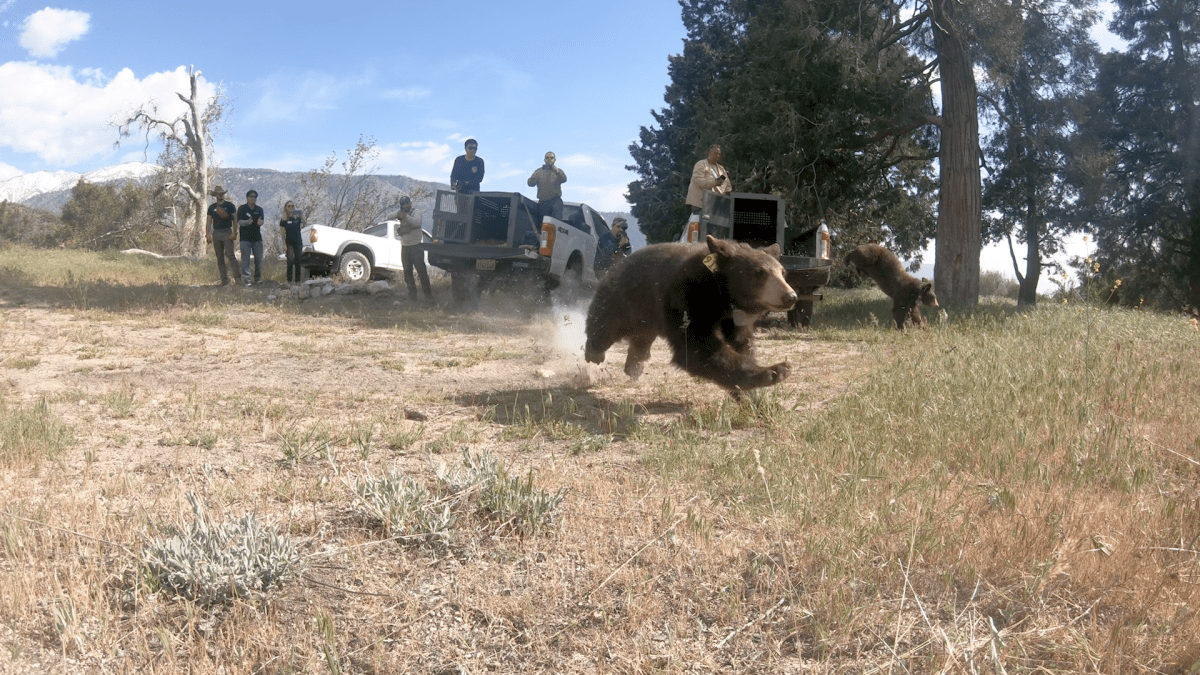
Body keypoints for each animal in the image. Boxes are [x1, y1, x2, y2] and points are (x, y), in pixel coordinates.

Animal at [580, 235, 796, 393]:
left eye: (782, 272)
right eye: (759, 273)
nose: (790, 296)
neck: (720, 295)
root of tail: (617, 264)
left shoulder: (733, 318)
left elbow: (743, 342)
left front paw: (748, 392)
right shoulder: (687, 297)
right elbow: (697, 346)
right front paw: (774, 370)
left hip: (648, 314)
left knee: (641, 338)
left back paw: (634, 365)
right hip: (625, 298)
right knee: (606, 323)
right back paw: (594, 352)